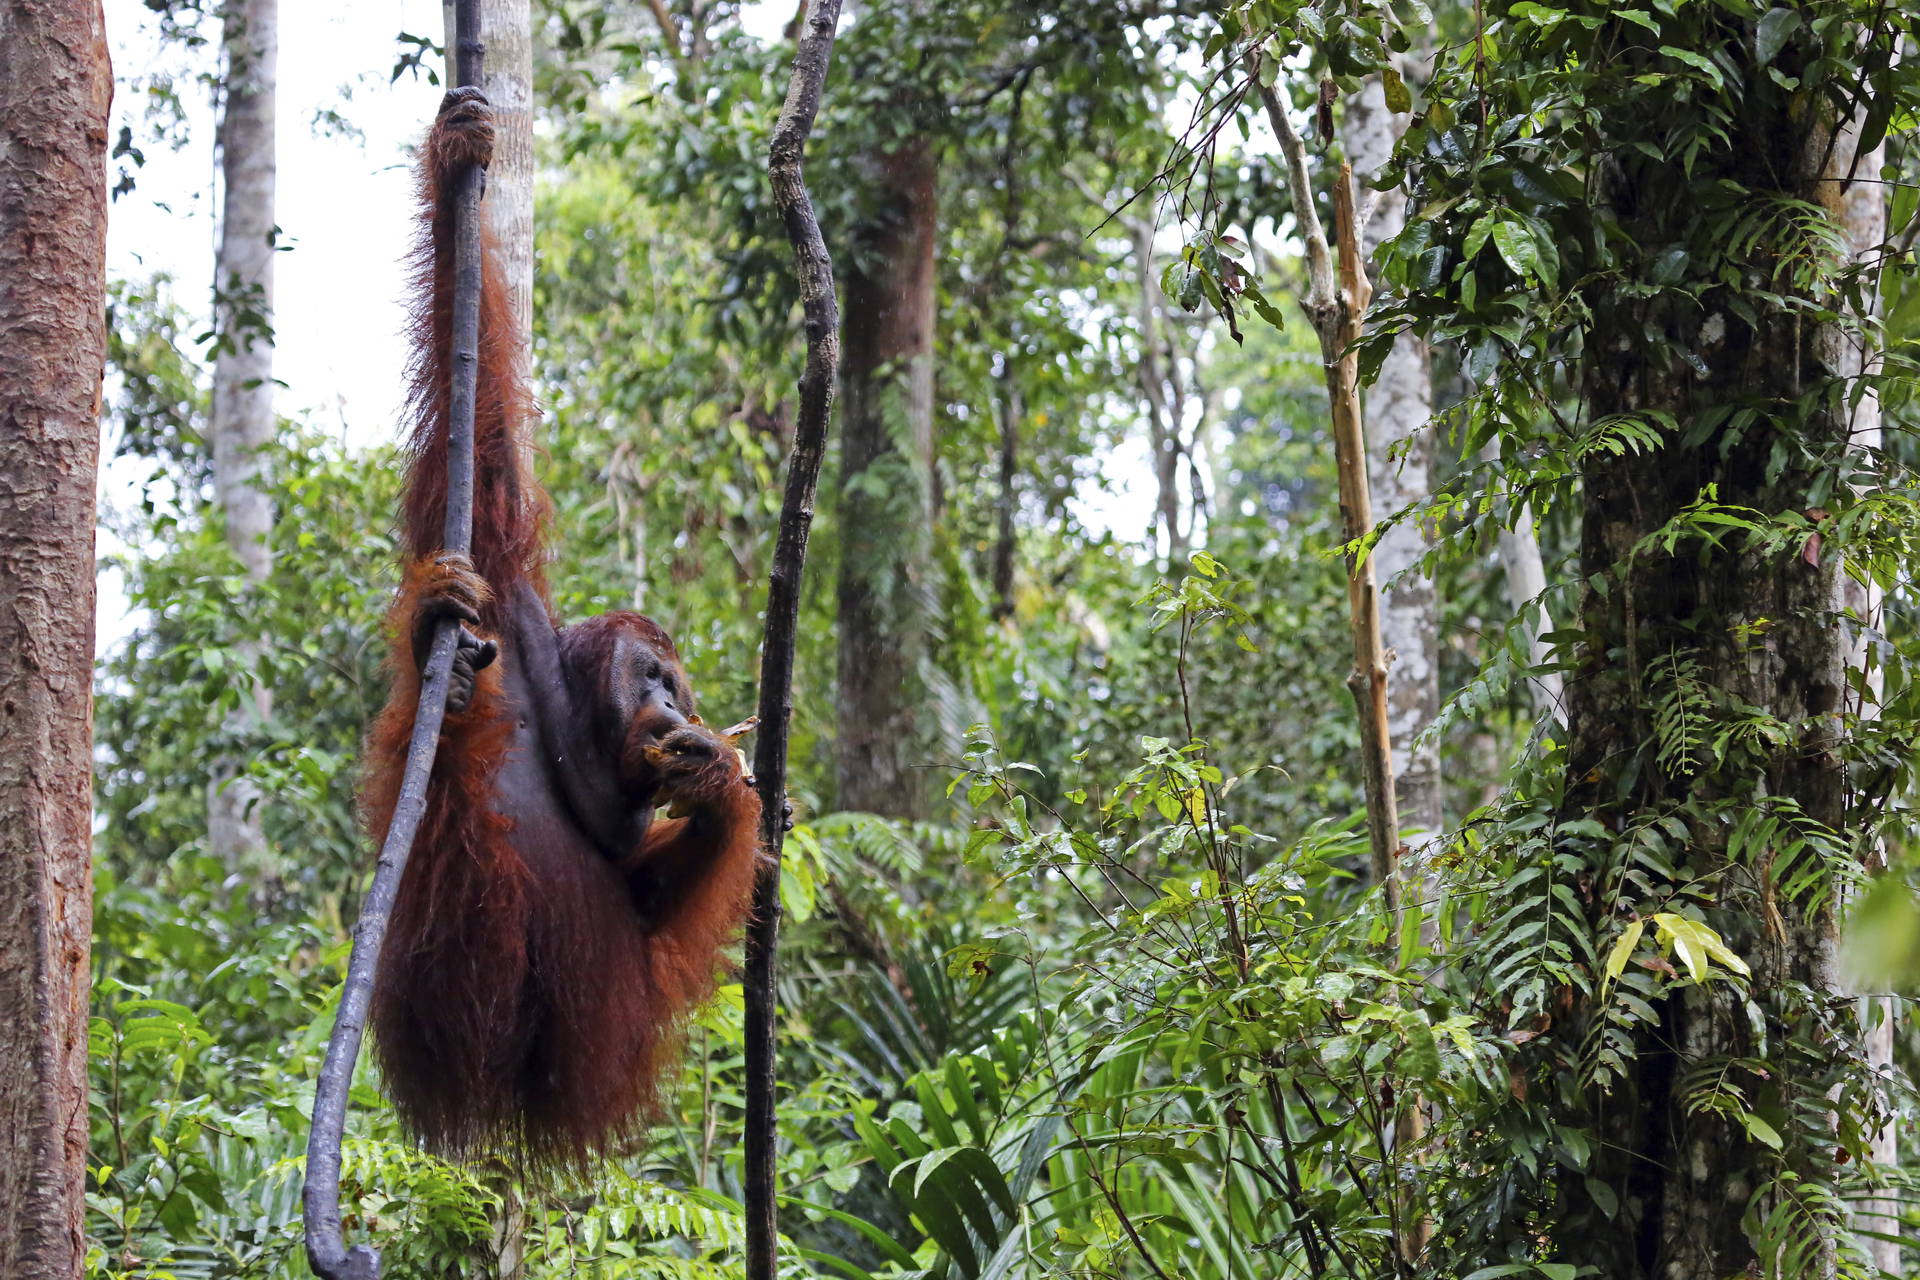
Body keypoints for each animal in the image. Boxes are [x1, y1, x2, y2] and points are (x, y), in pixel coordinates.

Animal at [360, 85, 763, 1169]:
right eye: (651, 674)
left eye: (676, 686)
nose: (672, 705)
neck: (574, 724)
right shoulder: (514, 597)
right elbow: (484, 443)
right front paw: (452, 156)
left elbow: (644, 894)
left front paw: (720, 783)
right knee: (458, 859)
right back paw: (451, 685)